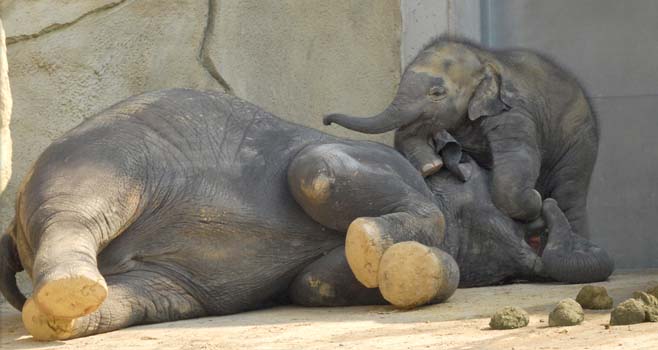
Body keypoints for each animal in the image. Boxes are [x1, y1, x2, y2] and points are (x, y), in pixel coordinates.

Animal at [0, 89, 608, 340]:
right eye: (527, 226)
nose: (547, 209)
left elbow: (312, 282)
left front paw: (402, 268)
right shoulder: (381, 164)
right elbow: (316, 169)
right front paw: (375, 246)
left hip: (163, 276)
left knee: (151, 296)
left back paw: (58, 318)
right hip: (107, 156)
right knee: (78, 212)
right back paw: (71, 291)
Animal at [324, 37, 600, 241]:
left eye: (437, 92)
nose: (325, 119)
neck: (484, 60)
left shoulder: (514, 112)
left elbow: (519, 158)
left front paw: (537, 199)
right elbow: (410, 132)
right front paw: (432, 166)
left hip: (579, 140)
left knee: (570, 191)